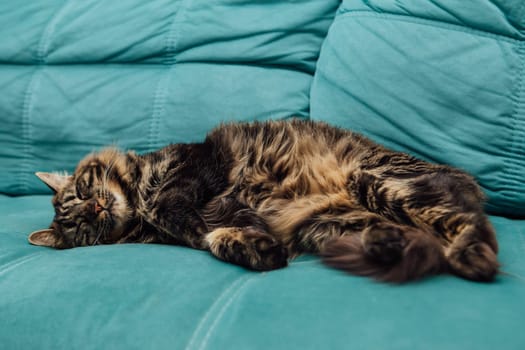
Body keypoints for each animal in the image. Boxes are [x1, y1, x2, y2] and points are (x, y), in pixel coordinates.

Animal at [29, 119, 500, 284]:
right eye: (78, 227)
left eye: (83, 191)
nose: (95, 209)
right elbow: (220, 235)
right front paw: (256, 249)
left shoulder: (196, 164)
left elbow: (176, 207)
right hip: (326, 224)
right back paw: (387, 245)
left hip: (375, 182)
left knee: (472, 226)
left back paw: (472, 259)